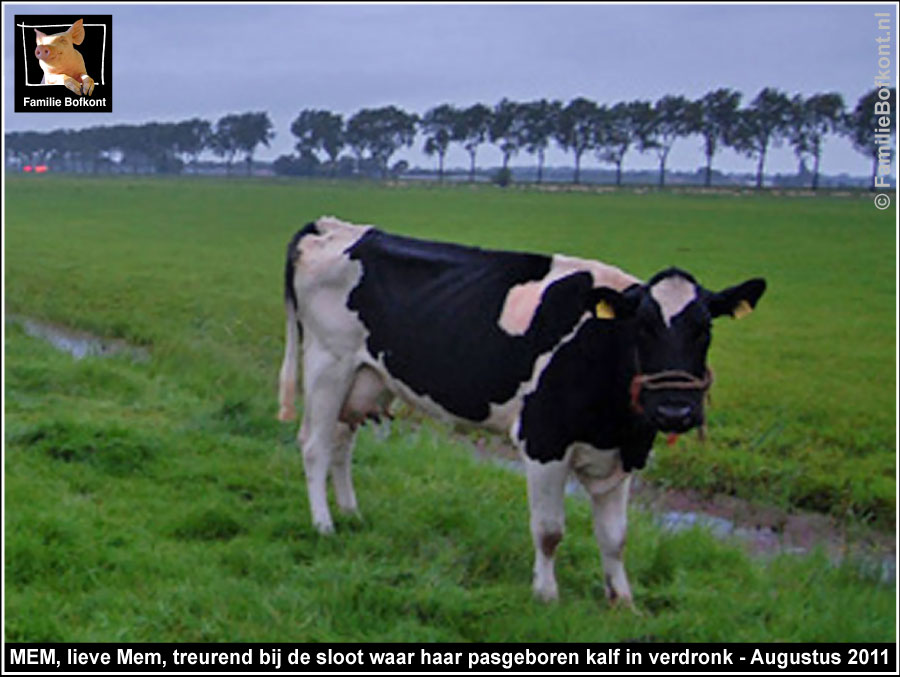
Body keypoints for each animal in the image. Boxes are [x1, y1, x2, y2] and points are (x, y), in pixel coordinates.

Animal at [276, 214, 768, 604]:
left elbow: (616, 538)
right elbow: (549, 530)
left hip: (363, 378)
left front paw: (623, 601)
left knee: (342, 443)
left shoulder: (625, 452)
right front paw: (546, 595)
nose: (675, 411)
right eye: (643, 327)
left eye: (705, 329)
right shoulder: (544, 440)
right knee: (315, 445)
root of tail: (333, 226)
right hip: (327, 363)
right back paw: (324, 525)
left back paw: (351, 513)